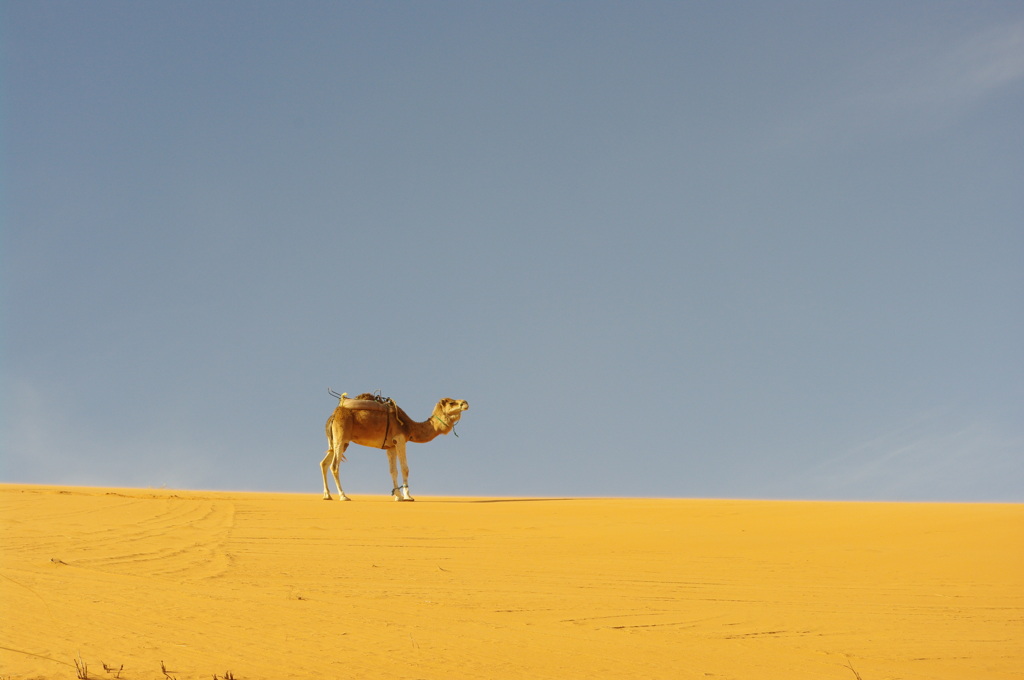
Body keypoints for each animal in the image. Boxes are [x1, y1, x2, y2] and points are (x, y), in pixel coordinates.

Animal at [317, 393, 468, 499]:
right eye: (451, 402)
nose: (465, 403)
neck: (409, 427)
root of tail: (333, 415)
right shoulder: (400, 440)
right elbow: (405, 469)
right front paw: (408, 496)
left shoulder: (390, 446)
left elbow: (393, 471)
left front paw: (398, 496)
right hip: (341, 437)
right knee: (334, 465)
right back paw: (343, 496)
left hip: (338, 441)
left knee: (323, 463)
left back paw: (327, 495)